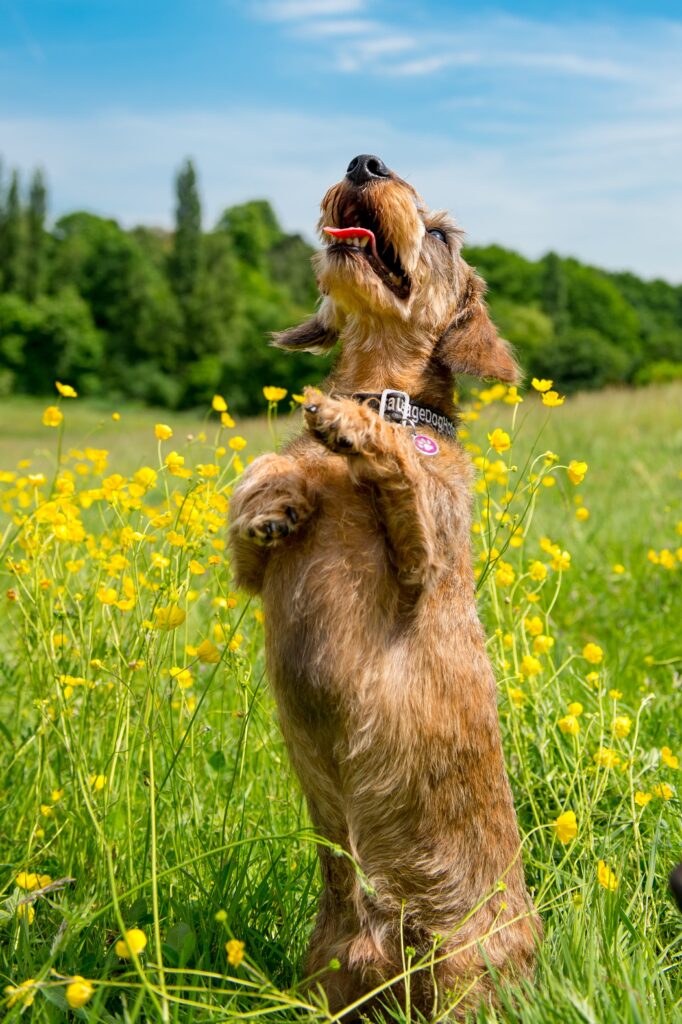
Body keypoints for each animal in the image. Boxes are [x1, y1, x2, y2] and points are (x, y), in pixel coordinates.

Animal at [231, 151, 540, 1015]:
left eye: (441, 235)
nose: (365, 162)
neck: (383, 388)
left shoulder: (423, 562)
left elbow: (400, 469)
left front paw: (350, 427)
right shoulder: (253, 574)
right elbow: (254, 501)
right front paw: (276, 500)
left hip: (465, 975)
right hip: (327, 968)